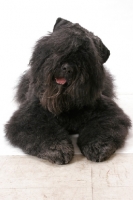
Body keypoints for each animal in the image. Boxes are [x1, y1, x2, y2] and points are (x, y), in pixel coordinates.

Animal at [4, 17, 131, 164]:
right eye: (61, 42)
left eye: (87, 55)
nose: (67, 67)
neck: (66, 103)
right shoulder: (30, 115)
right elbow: (42, 129)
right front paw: (57, 148)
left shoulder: (108, 112)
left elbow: (104, 126)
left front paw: (98, 145)